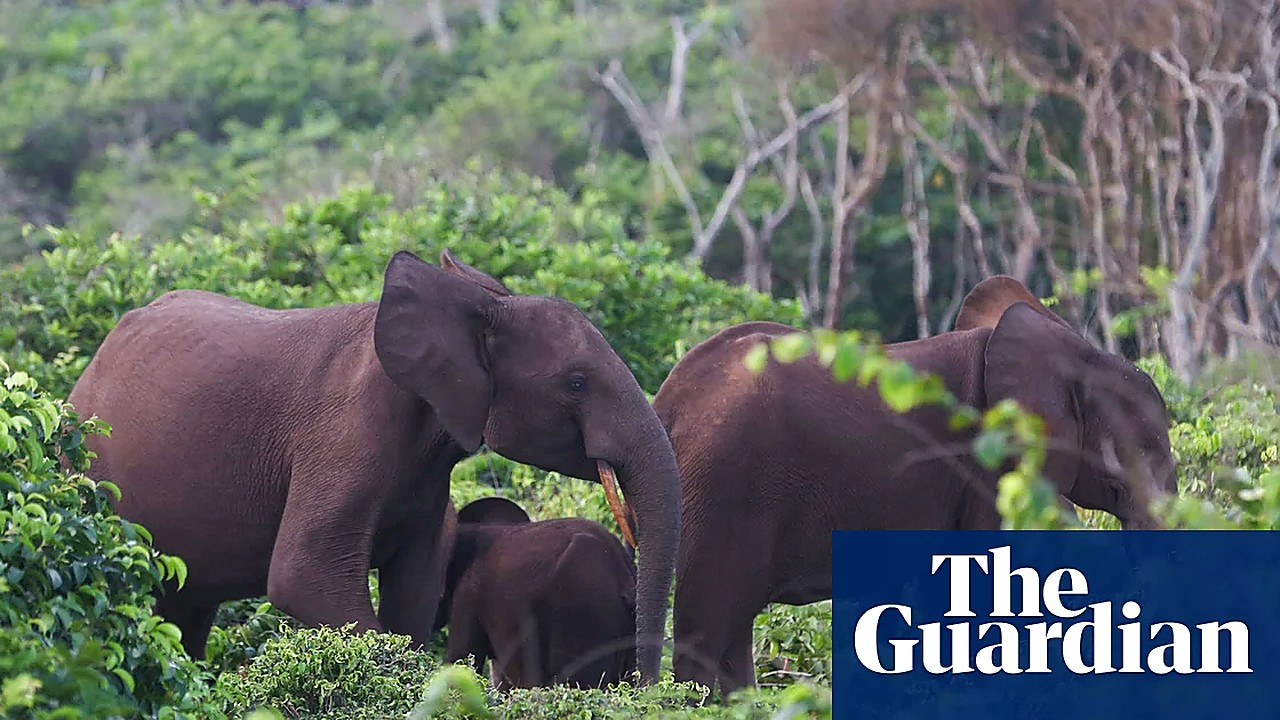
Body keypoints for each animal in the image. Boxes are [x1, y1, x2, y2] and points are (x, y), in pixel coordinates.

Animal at [651, 275, 1178, 696]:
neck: (1074, 352)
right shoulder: (990, 465)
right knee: (709, 627)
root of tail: (667, 401)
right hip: (724, 484)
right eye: (1146, 450)